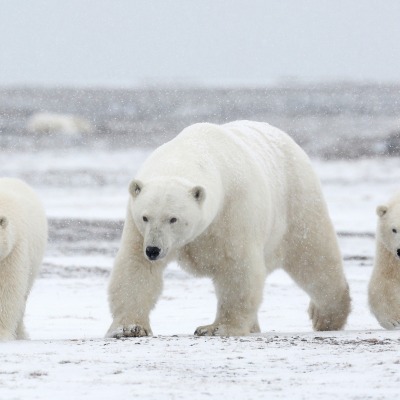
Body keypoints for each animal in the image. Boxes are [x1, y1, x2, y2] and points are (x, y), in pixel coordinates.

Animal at [105, 119, 350, 338]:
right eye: (145, 217)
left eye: (173, 219)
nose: (154, 250)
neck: (192, 151)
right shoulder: (137, 228)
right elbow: (136, 267)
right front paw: (129, 328)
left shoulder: (233, 208)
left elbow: (237, 266)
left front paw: (215, 328)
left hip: (296, 201)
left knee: (314, 257)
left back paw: (327, 317)